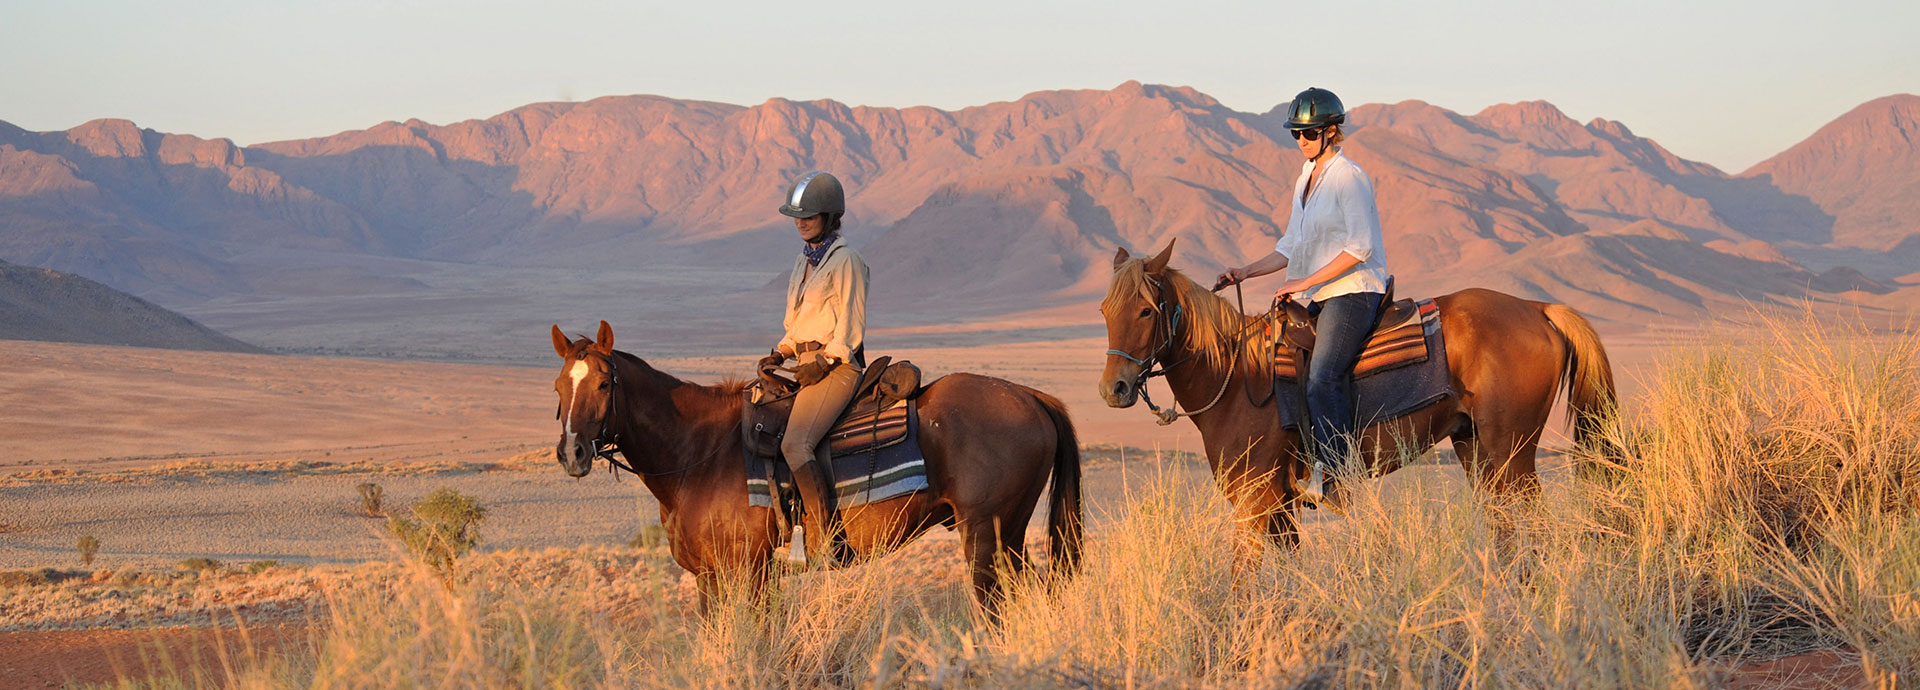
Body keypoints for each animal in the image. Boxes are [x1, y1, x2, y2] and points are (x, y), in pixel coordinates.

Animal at [551, 321, 1083, 617]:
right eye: (559, 386)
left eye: (603, 384)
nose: (572, 453)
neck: (699, 451)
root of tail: (1032, 396)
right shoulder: (709, 576)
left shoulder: (750, 570)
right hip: (1009, 537)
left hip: (986, 538)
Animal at [1098, 241, 1616, 553]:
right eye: (1104, 309)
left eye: (1146, 311)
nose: (1113, 388)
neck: (1238, 376)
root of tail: (1537, 308)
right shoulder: (1279, 508)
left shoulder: (1256, 499)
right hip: (1476, 451)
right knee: (1505, 525)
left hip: (1513, 454)